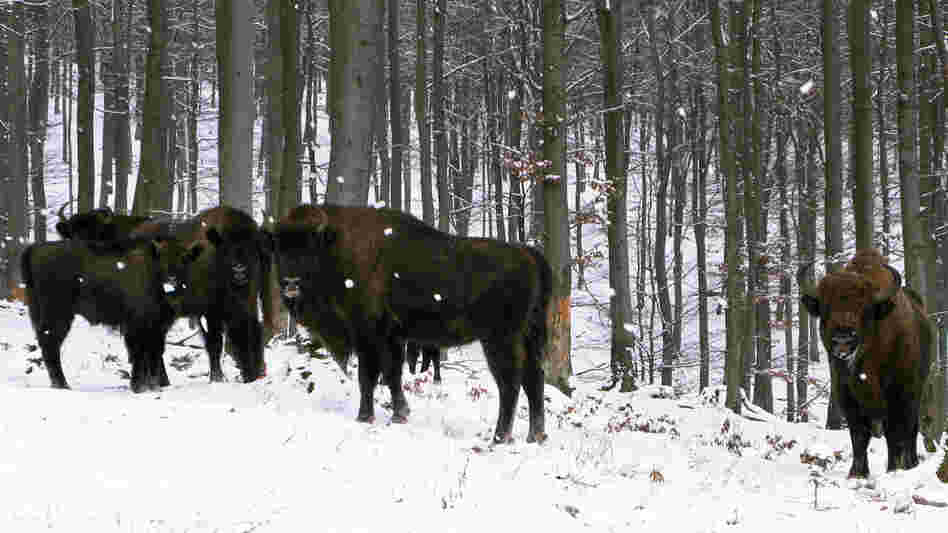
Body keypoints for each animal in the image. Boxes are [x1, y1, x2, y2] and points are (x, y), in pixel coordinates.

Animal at [20, 236, 198, 392]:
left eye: (184, 260)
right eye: (162, 259)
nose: (171, 280)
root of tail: (34, 249)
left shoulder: (159, 327)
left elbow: (155, 353)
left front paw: (155, 385)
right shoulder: (137, 325)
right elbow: (140, 353)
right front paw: (139, 386)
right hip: (58, 315)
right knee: (50, 344)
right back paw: (62, 385)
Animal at [268, 204, 552, 444]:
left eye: (308, 247)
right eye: (279, 249)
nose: (290, 282)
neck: (336, 245)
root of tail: (528, 255)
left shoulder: (367, 334)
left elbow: (368, 376)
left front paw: (365, 417)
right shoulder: (393, 337)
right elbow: (392, 374)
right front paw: (399, 415)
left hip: (499, 339)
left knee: (510, 383)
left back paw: (500, 438)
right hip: (527, 337)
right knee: (534, 379)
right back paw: (535, 436)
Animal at [799, 248, 935, 477]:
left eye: (865, 310)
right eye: (826, 308)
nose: (843, 339)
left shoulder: (898, 393)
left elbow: (894, 432)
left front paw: (893, 469)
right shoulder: (846, 394)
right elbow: (859, 434)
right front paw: (857, 473)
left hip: (917, 389)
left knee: (911, 430)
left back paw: (910, 463)